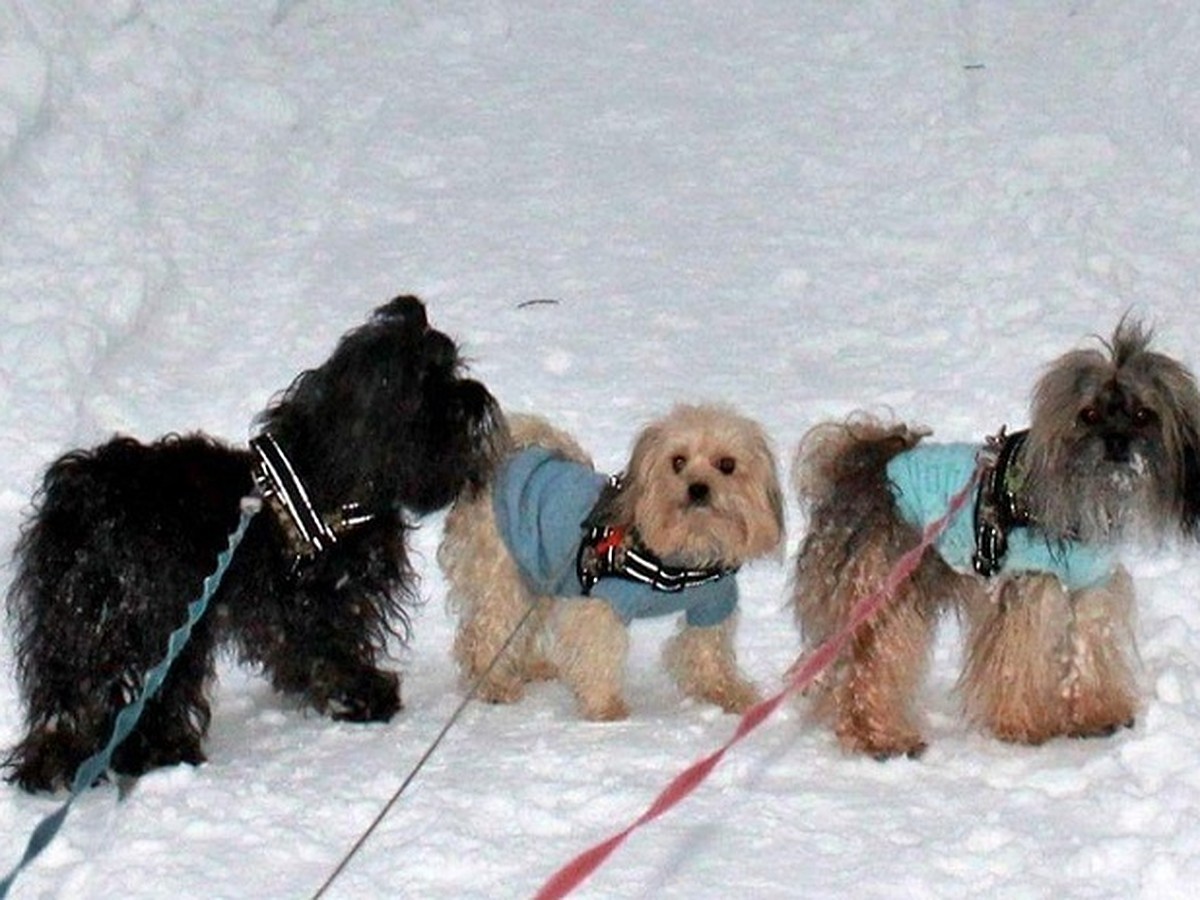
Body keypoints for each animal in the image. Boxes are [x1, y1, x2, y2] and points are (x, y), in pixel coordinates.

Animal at [4, 294, 501, 787]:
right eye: (432, 384)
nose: (477, 398)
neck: (322, 477)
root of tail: (84, 501)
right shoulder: (317, 598)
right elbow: (330, 646)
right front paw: (364, 697)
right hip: (156, 619)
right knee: (149, 693)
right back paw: (164, 753)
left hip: (73, 623)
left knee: (66, 698)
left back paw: (57, 763)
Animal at [436, 405, 782, 724]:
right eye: (678, 461)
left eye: (727, 465)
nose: (697, 488)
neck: (684, 552)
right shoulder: (603, 603)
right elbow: (598, 651)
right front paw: (605, 707)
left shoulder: (712, 606)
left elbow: (708, 654)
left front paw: (729, 694)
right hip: (502, 576)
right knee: (483, 632)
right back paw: (493, 683)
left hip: (538, 574)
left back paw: (531, 666)